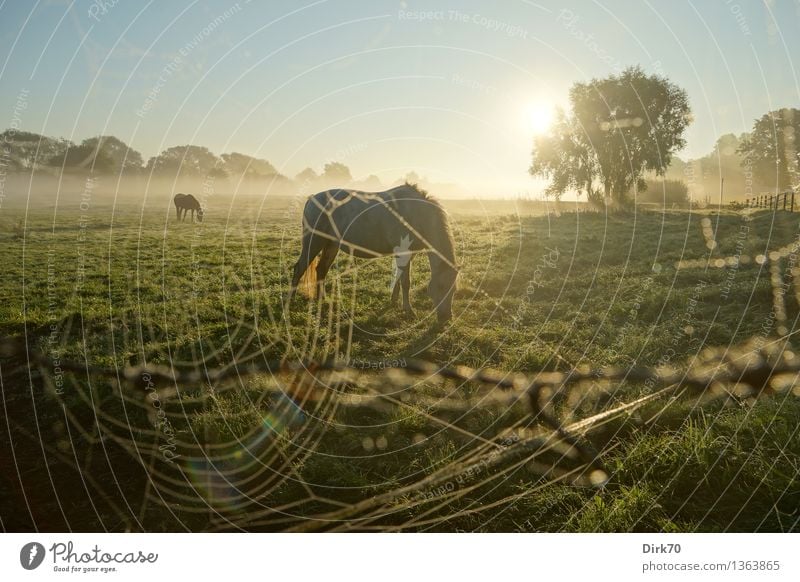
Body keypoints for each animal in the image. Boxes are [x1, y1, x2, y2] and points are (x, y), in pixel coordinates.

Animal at [290, 184, 460, 324]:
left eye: (454, 290)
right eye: (440, 286)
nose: (446, 318)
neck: (416, 213)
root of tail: (311, 199)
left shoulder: (409, 254)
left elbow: (398, 278)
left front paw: (393, 302)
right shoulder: (403, 252)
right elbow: (406, 282)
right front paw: (408, 310)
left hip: (331, 245)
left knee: (321, 269)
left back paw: (322, 299)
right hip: (314, 242)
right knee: (299, 268)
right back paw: (290, 301)